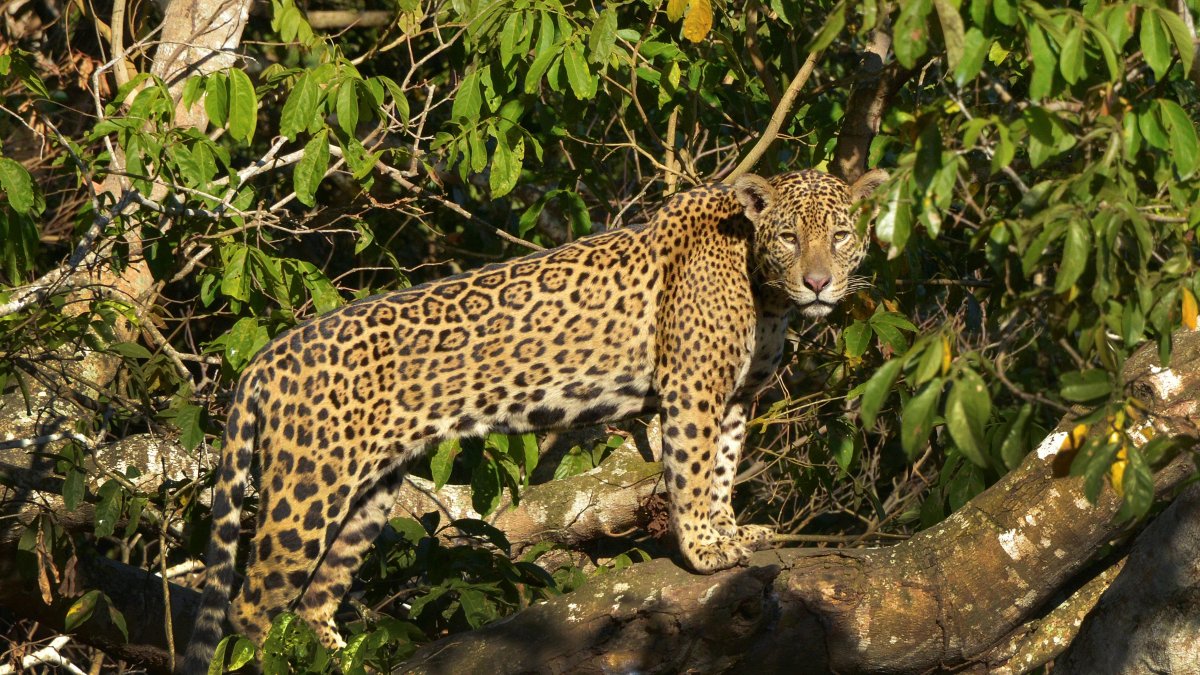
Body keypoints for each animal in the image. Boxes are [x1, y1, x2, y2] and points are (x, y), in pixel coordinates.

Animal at [180, 167, 888, 673]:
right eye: (790, 237)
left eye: (841, 236)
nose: (819, 283)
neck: (764, 290)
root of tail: (265, 358)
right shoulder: (693, 389)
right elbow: (691, 473)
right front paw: (704, 550)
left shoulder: (738, 396)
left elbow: (721, 471)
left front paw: (734, 531)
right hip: (309, 487)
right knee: (252, 605)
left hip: (371, 493)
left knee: (314, 599)